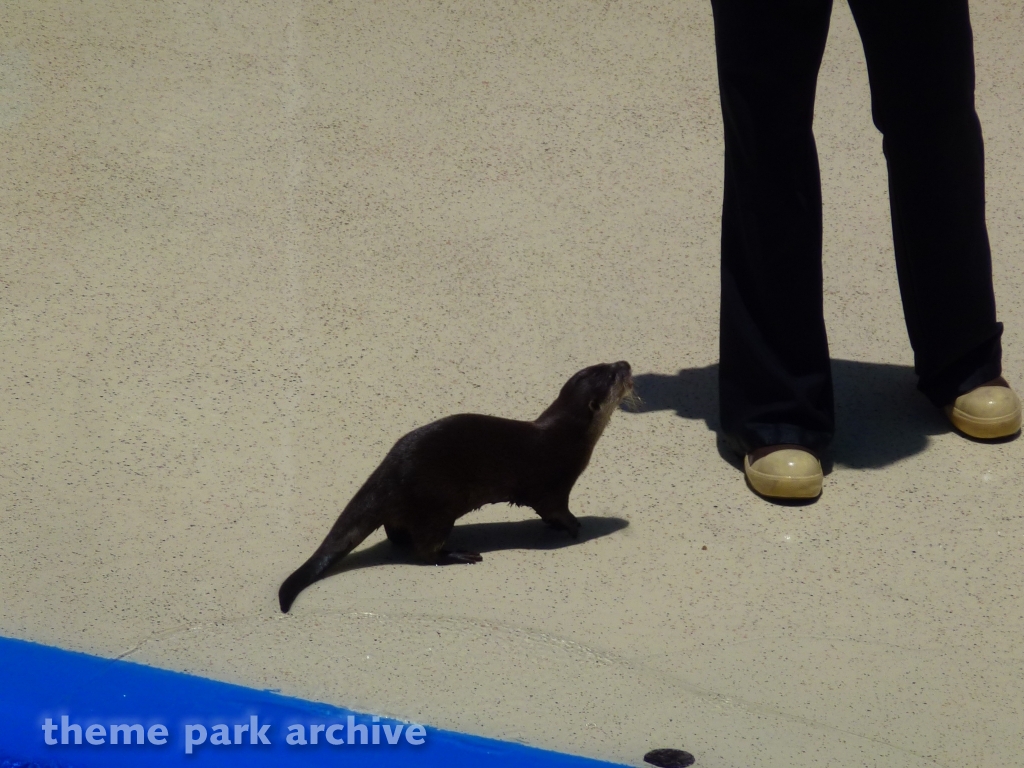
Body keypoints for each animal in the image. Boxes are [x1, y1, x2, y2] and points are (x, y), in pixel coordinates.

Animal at [278, 361, 633, 613]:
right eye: (613, 375)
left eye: (607, 363)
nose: (627, 363)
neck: (569, 437)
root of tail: (388, 473)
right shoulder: (554, 483)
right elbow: (554, 509)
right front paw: (574, 526)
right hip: (436, 506)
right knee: (424, 551)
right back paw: (459, 554)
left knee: (396, 532)